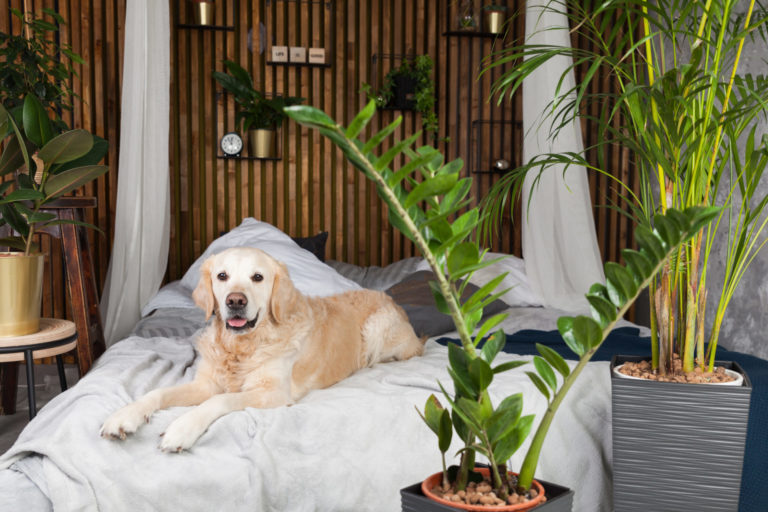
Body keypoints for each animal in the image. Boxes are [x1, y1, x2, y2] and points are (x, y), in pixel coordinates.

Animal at [99, 248, 424, 452]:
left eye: (258, 277)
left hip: (378, 330)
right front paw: (123, 416)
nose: (235, 301)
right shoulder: (206, 383)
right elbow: (157, 393)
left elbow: (219, 401)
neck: (242, 346)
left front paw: (182, 429)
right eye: (222, 276)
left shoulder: (273, 393)